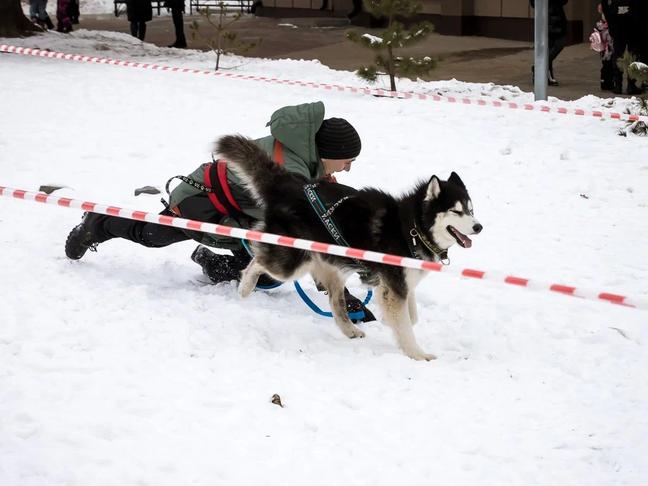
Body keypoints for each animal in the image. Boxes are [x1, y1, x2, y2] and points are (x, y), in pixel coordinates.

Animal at [218, 135, 480, 358]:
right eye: (456, 211)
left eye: (470, 209)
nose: (478, 227)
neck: (412, 228)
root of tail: (290, 185)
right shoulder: (395, 285)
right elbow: (406, 324)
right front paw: (417, 354)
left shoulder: (399, 283)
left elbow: (410, 316)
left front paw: (391, 323)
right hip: (292, 262)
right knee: (258, 259)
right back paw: (245, 286)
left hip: (332, 266)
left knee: (336, 302)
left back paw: (349, 330)